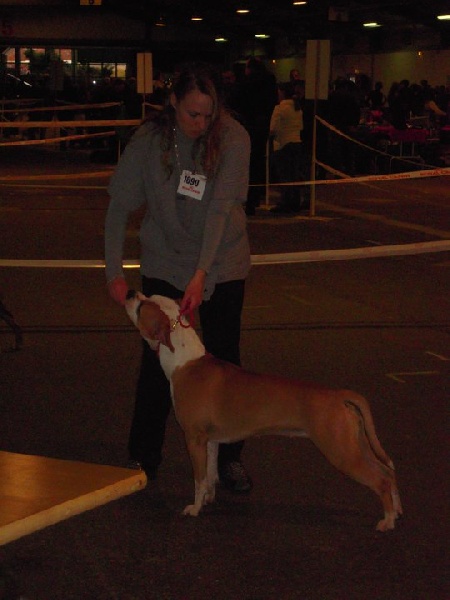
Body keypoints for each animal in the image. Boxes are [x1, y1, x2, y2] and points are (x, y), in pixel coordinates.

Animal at [125, 291, 402, 531]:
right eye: (146, 296)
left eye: (142, 306)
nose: (129, 292)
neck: (184, 361)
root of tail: (338, 395)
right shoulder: (210, 440)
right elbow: (210, 475)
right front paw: (207, 500)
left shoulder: (194, 439)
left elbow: (199, 478)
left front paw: (194, 508)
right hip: (356, 445)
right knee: (388, 472)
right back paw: (397, 510)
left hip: (342, 453)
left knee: (380, 480)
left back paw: (387, 520)